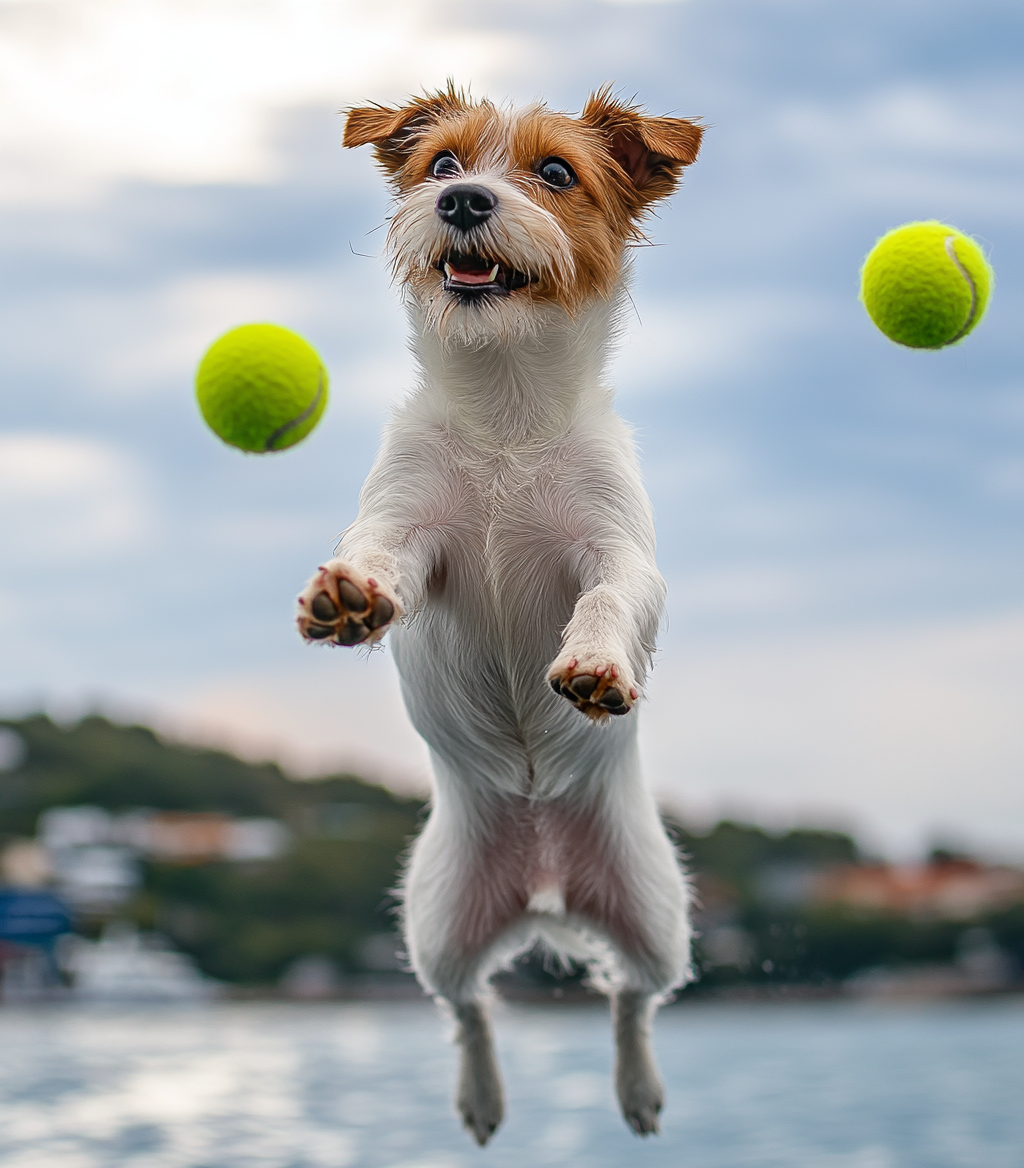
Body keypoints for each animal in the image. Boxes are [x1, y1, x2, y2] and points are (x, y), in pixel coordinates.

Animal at [295, 86, 705, 1144]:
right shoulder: (408, 525)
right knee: (469, 1007)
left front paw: (596, 664)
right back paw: (480, 1096)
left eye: (556, 172)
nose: (464, 202)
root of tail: (542, 885)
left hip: (656, 914)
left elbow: (609, 595)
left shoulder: (619, 553)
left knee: (632, 997)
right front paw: (348, 597)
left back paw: (638, 1090)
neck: (505, 412)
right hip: (436, 924)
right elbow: (379, 557)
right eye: (440, 165)